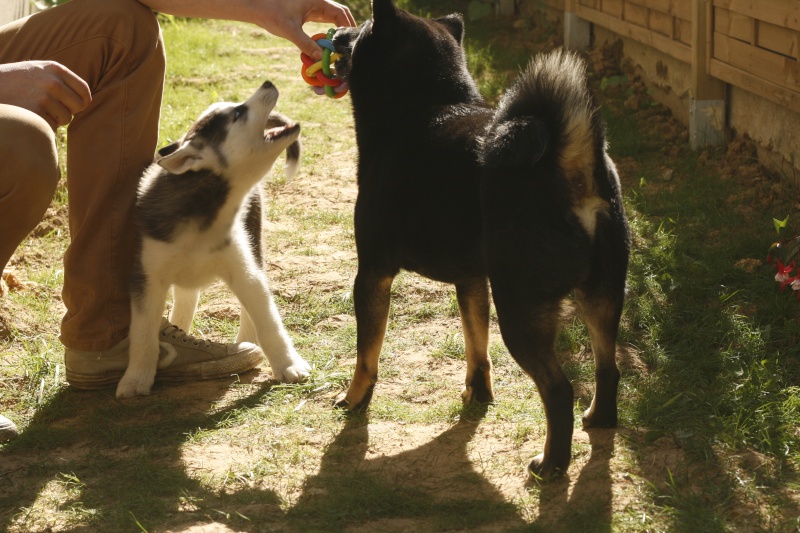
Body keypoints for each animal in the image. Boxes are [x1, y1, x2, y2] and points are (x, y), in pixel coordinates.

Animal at [117, 81, 310, 400]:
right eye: (239, 113)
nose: (268, 83)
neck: (203, 208)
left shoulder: (244, 270)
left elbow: (268, 320)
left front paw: (288, 365)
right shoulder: (146, 277)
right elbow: (143, 333)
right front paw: (135, 379)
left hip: (254, 244)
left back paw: (246, 343)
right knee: (186, 297)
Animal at [332, 1, 632, 478]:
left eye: (361, 29)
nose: (337, 33)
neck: (427, 107)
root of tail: (572, 166)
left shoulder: (373, 273)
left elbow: (367, 354)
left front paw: (354, 399)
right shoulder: (472, 281)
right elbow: (477, 344)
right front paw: (479, 394)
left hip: (522, 308)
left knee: (559, 391)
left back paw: (551, 464)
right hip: (601, 296)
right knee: (608, 367)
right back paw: (600, 419)